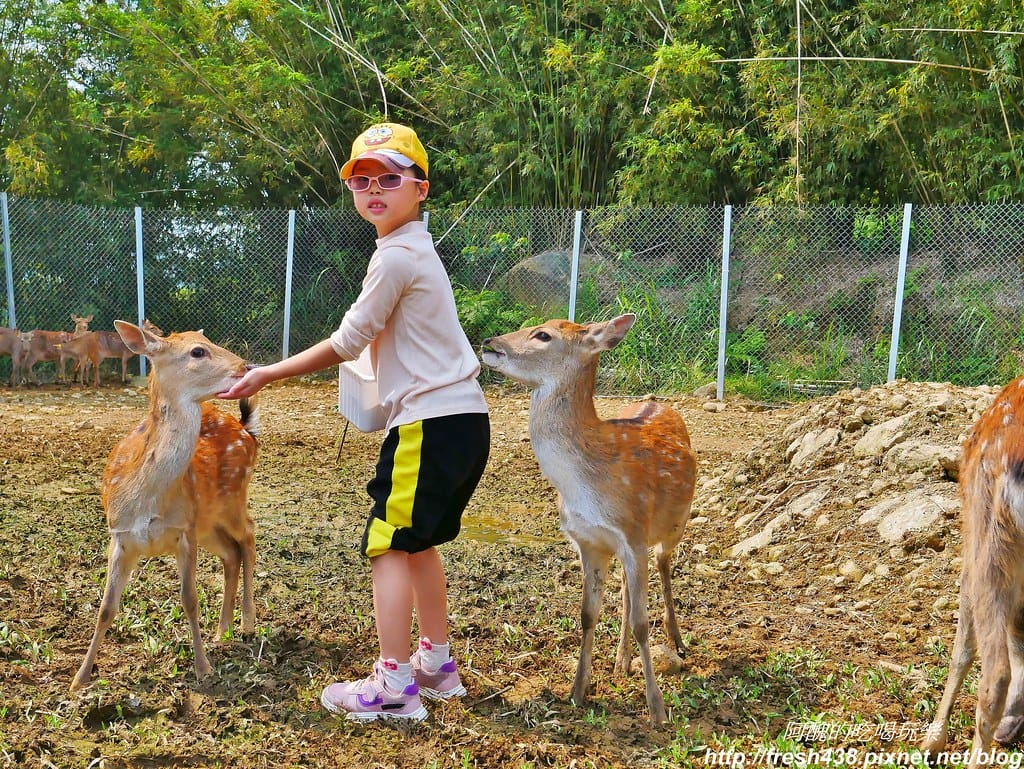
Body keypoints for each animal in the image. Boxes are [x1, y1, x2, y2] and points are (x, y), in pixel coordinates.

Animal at [70, 320, 261, 691]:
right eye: (198, 350)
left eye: (207, 339)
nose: (246, 366)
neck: (147, 500)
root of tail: (246, 430)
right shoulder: (120, 535)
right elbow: (106, 608)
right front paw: (80, 678)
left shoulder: (183, 531)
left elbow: (190, 600)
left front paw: (203, 669)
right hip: (208, 522)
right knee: (231, 553)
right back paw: (223, 630)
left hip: (232, 499)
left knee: (248, 535)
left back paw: (246, 622)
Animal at [481, 313, 697, 725]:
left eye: (543, 335)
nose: (489, 343)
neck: (585, 487)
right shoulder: (589, 541)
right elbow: (587, 614)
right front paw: (578, 692)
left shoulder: (632, 533)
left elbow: (643, 624)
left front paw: (657, 710)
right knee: (628, 590)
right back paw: (620, 662)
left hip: (674, 524)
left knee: (664, 566)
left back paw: (677, 641)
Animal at [922, 376, 1024, 767]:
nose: (1008, 736)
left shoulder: (973, 546)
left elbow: (962, 649)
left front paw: (932, 741)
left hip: (991, 537)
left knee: (995, 675)